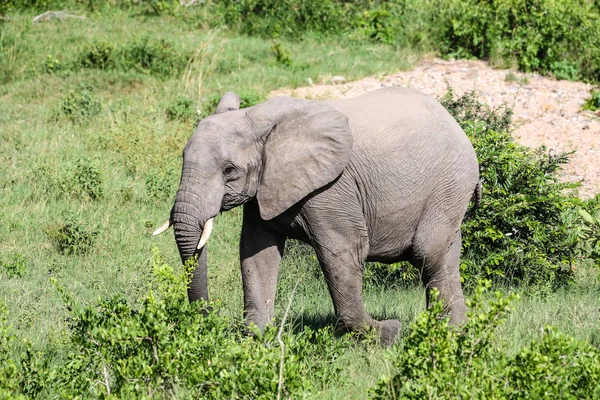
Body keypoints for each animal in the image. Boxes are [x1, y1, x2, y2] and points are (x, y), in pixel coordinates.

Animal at [156, 86, 482, 344]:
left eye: (229, 171)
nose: (209, 316)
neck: (257, 119)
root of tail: (455, 123)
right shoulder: (265, 186)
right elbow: (256, 253)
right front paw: (257, 338)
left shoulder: (332, 188)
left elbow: (342, 252)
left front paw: (389, 333)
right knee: (447, 256)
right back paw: (452, 332)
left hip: (450, 184)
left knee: (428, 254)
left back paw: (444, 335)